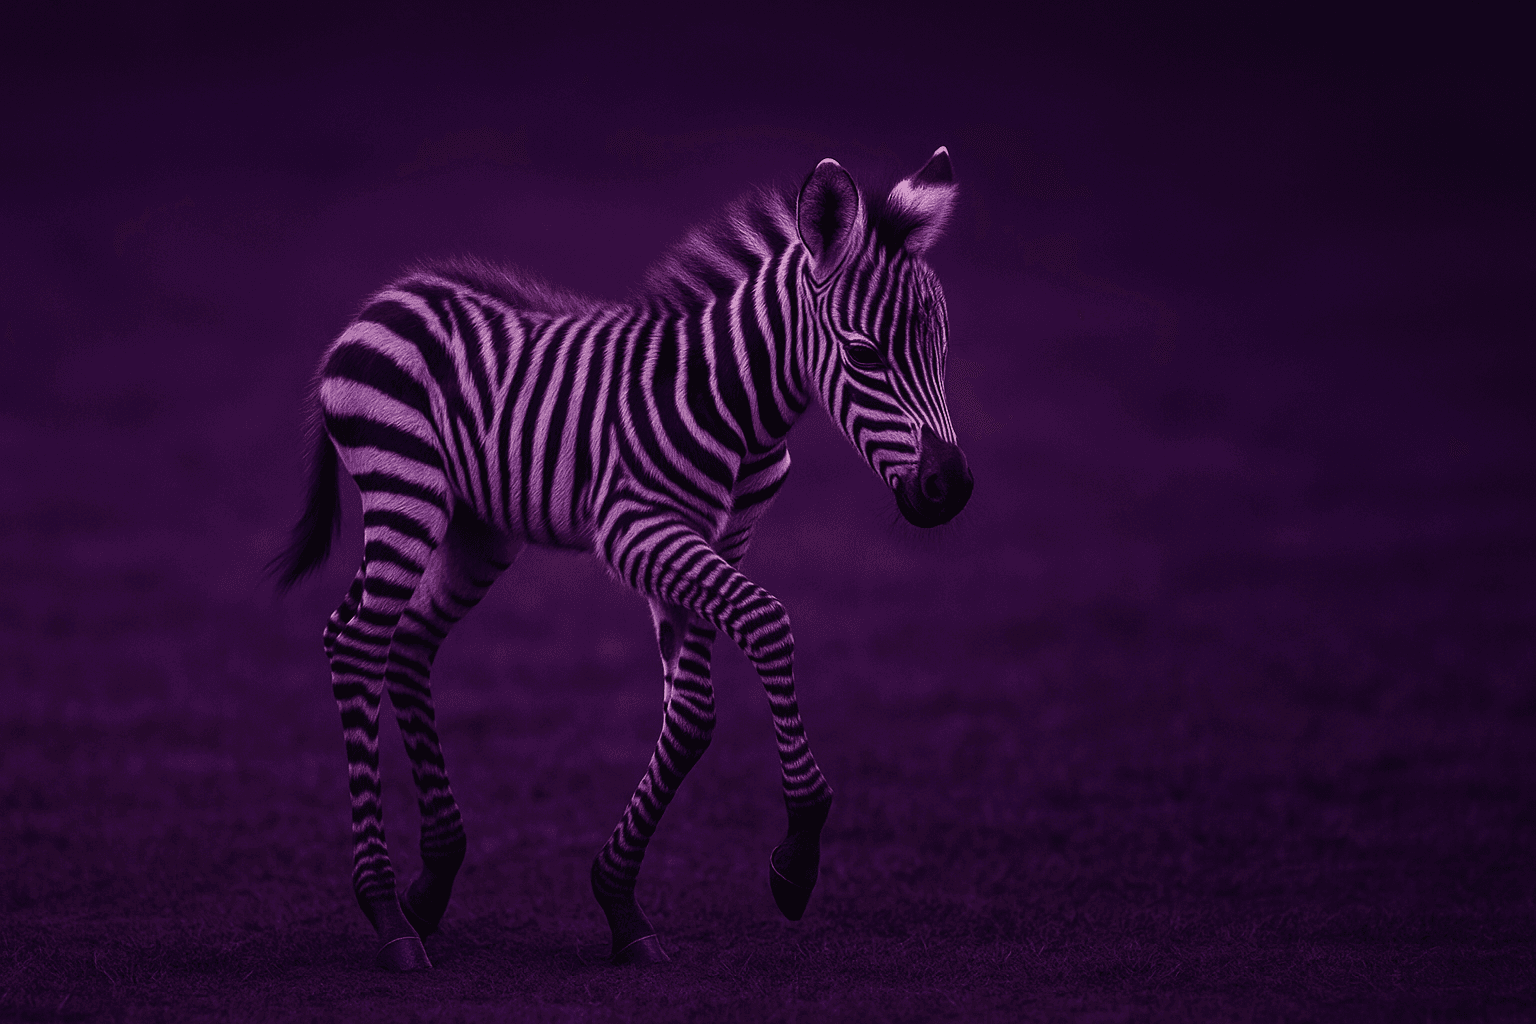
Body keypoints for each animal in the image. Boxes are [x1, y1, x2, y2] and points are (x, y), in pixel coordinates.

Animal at [271, 147, 973, 970]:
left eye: (941, 349)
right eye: (864, 354)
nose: (951, 489)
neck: (737, 406)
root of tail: (382, 302)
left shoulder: (713, 539)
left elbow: (692, 715)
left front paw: (620, 903)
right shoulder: (639, 530)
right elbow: (767, 623)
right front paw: (798, 856)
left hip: (477, 529)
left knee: (401, 640)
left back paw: (432, 880)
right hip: (405, 488)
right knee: (359, 644)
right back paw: (387, 913)